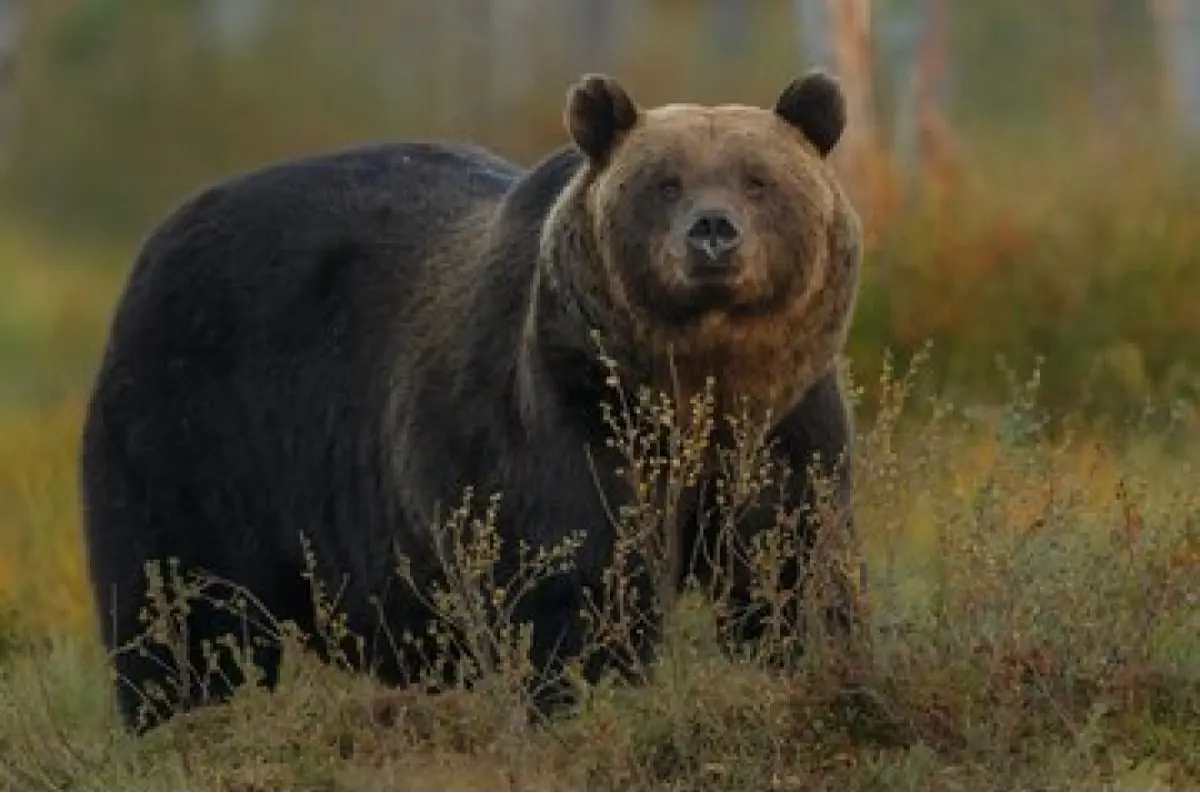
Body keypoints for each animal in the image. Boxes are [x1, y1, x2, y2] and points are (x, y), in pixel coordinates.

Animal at [82, 69, 864, 729]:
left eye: (758, 179)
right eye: (664, 183)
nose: (712, 231)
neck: (693, 383)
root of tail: (159, 235)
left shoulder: (787, 419)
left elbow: (791, 559)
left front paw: (806, 656)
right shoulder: (559, 408)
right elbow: (569, 579)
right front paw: (588, 691)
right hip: (191, 430)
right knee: (181, 608)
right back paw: (182, 717)